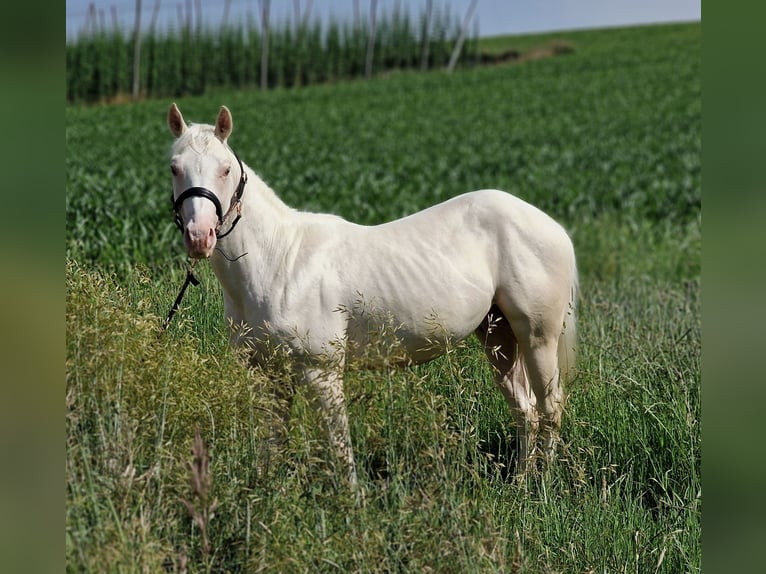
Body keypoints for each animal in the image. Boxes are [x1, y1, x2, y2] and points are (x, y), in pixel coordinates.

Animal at [166, 103, 576, 486]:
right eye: (174, 168)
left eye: (225, 170)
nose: (199, 237)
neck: (280, 261)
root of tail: (551, 226)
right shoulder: (268, 373)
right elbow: (273, 441)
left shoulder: (322, 371)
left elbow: (338, 444)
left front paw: (352, 502)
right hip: (498, 336)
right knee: (525, 411)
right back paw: (520, 483)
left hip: (537, 337)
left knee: (550, 408)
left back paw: (543, 485)